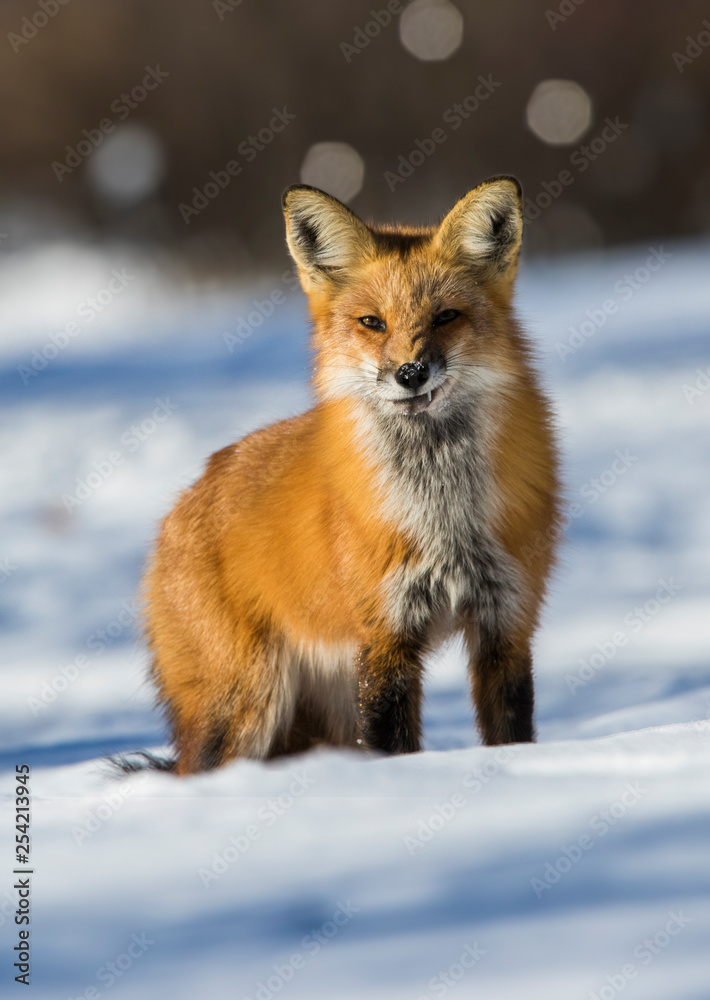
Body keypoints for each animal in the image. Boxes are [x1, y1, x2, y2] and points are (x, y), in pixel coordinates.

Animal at [140, 178, 560, 772]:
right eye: (372, 323)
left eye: (446, 317)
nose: (410, 372)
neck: (443, 513)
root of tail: (179, 506)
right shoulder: (383, 637)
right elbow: (393, 746)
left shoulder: (507, 623)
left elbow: (511, 735)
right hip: (246, 705)